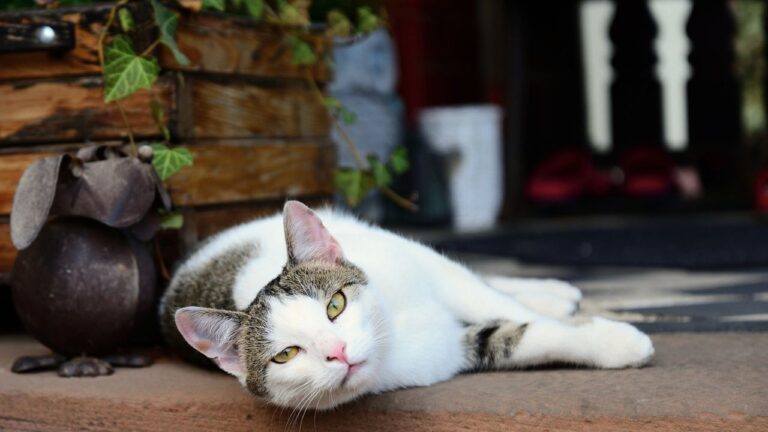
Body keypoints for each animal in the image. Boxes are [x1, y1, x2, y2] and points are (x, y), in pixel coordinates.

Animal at [162, 199, 656, 408]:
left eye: (336, 306)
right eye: (286, 355)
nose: (337, 352)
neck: (395, 331)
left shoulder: (426, 266)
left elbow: (492, 300)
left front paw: (599, 330)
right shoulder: (447, 353)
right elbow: (510, 336)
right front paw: (615, 344)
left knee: (484, 279)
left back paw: (554, 292)